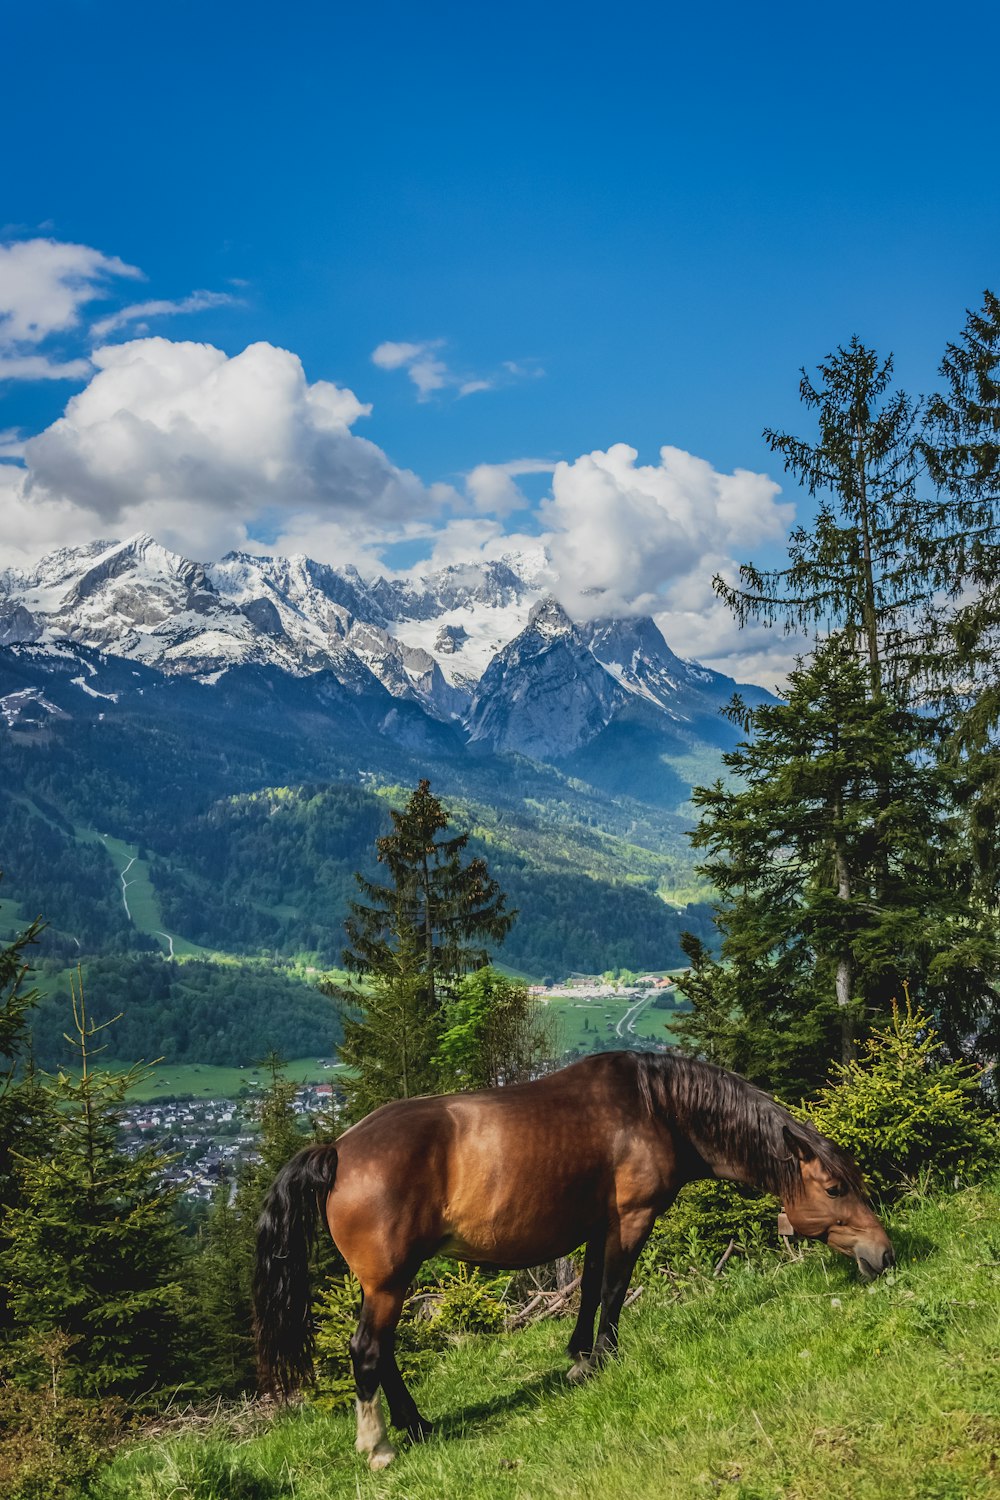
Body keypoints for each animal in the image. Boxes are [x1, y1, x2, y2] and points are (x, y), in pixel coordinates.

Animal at [254, 1050, 893, 1470]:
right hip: (389, 1281)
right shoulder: (631, 1218)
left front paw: (580, 1359)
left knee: (383, 1351)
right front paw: (604, 1359)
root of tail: (337, 1151)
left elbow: (586, 1292)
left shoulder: (595, 1225)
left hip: (388, 1282)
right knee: (367, 1350)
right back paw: (380, 1446)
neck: (656, 1106)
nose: (883, 1254)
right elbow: (613, 1289)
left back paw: (418, 1426)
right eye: (835, 1188)